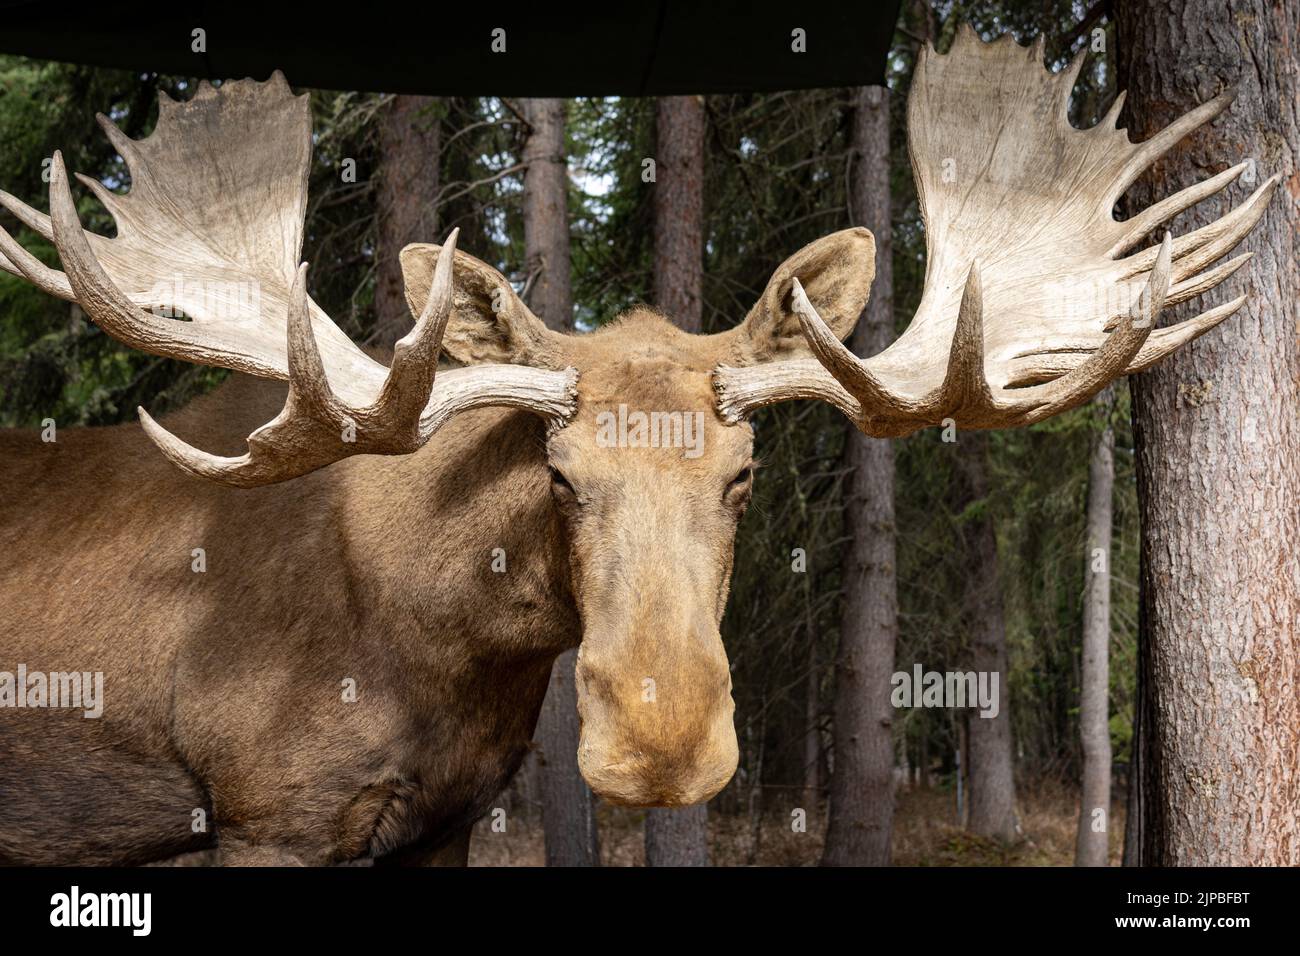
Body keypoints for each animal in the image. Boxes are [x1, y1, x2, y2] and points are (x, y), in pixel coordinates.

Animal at [0, 27, 1268, 868]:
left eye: (744, 474)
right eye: (558, 476)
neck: (448, 647)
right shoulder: (268, 815)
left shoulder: (440, 824)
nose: (662, 742)